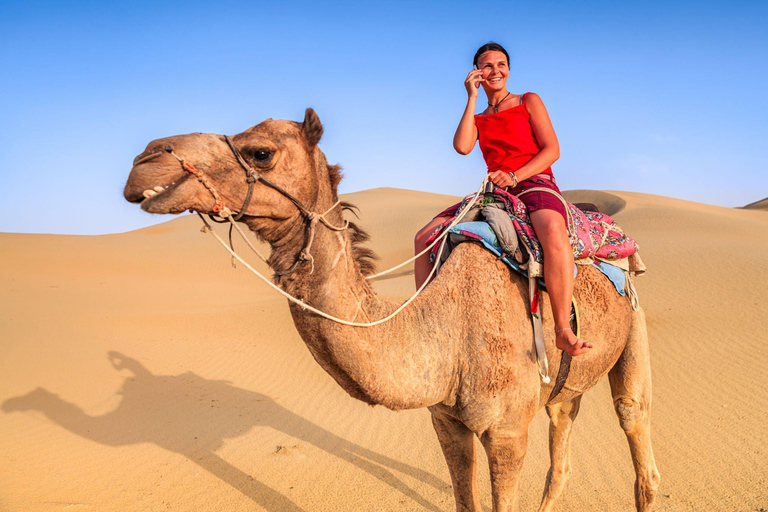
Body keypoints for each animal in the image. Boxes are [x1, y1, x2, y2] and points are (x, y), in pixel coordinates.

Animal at [121, 109, 660, 512]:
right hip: (563, 387)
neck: (448, 331)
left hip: (633, 324)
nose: (144, 160)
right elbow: (466, 501)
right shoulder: (446, 421)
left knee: (637, 434)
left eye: (261, 152)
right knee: (562, 448)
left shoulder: (507, 429)